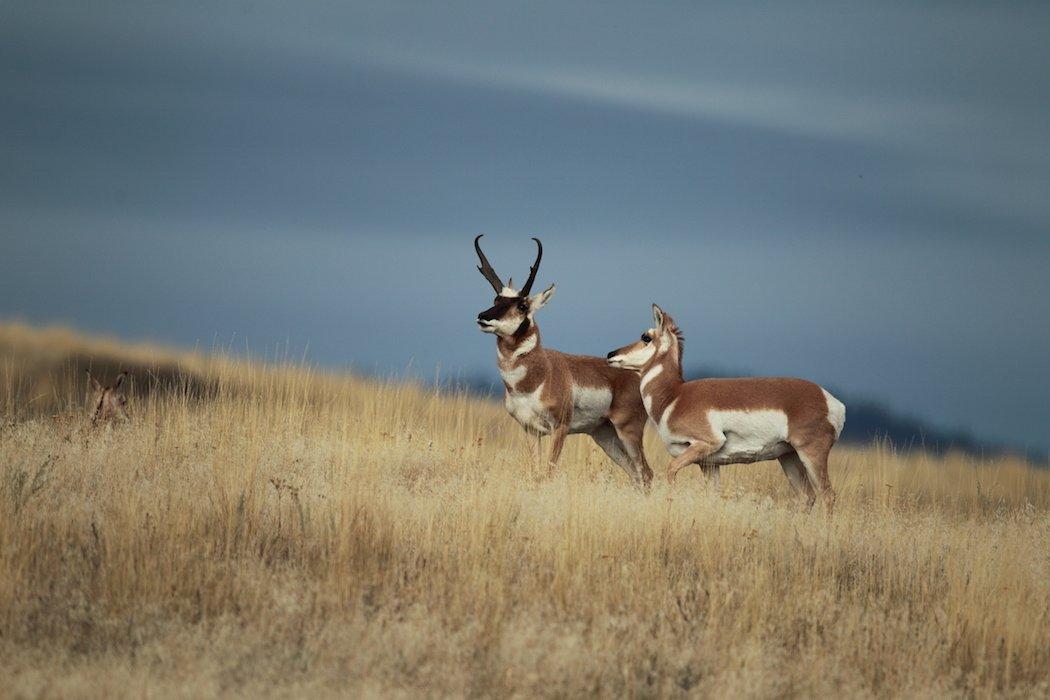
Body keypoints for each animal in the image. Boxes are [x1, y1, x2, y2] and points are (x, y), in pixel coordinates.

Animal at [474, 235, 651, 486]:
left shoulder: (560, 428)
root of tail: (638, 375)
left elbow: (548, 473)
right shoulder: (531, 431)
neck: (538, 376)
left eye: (522, 305)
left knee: (646, 473)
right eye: (496, 299)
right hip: (605, 437)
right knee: (636, 475)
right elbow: (536, 473)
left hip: (628, 432)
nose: (483, 317)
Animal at [609, 304, 844, 505]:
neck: (674, 397)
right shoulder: (709, 464)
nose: (611, 354)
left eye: (645, 337)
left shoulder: (706, 443)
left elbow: (670, 470)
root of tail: (830, 400)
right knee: (808, 497)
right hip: (788, 456)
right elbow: (713, 495)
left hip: (810, 453)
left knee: (828, 495)